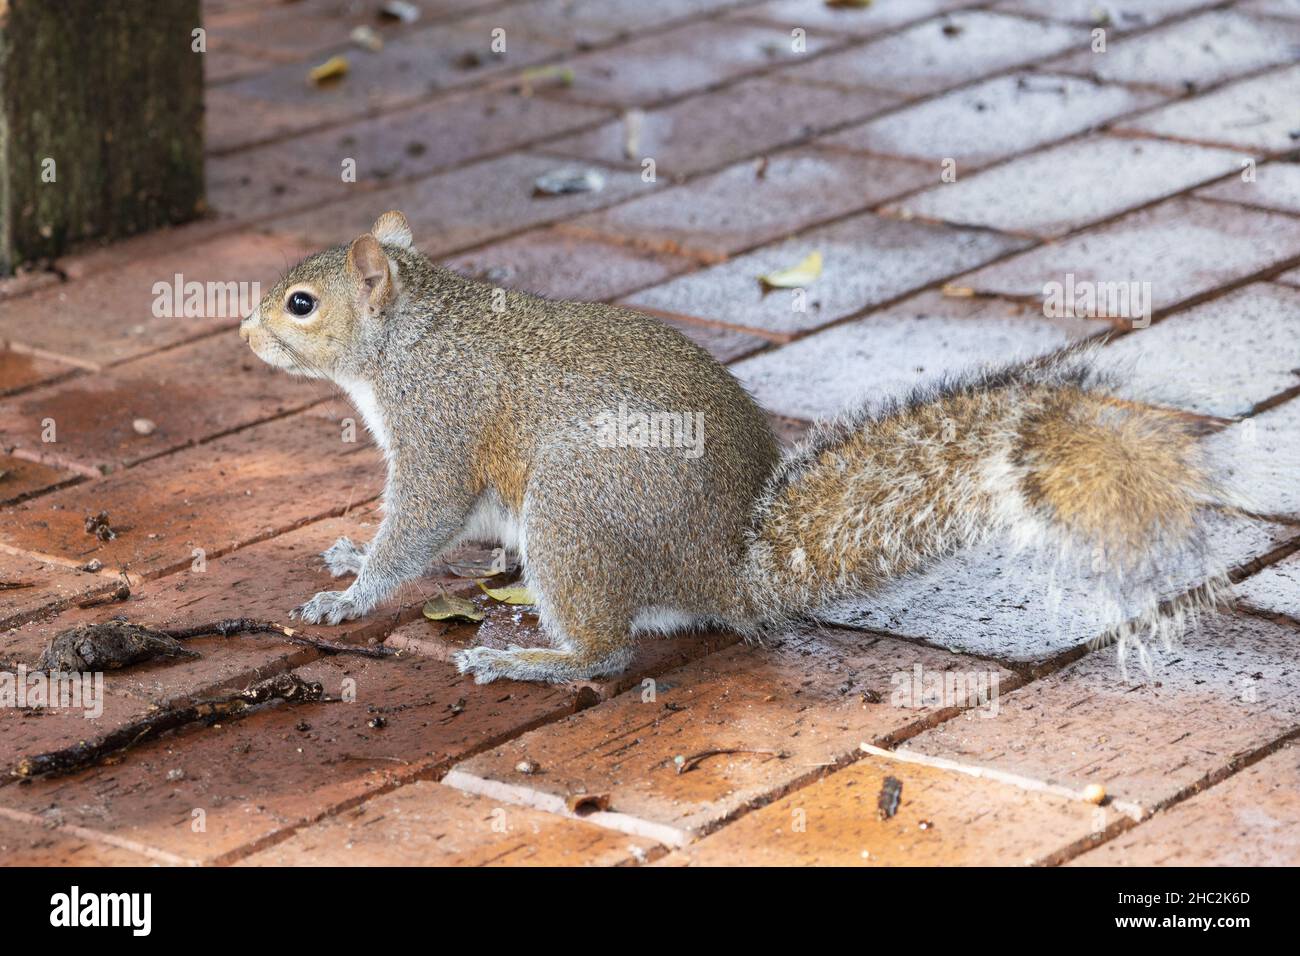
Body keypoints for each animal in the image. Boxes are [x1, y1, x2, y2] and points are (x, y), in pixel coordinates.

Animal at [241, 210, 1233, 684]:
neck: (406, 340)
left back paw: (535, 660)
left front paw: (350, 595)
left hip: (576, 505)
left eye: (301, 304)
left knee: (608, 650)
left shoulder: (441, 425)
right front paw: (346, 552)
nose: (244, 337)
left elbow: (424, 519)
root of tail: (731, 572)